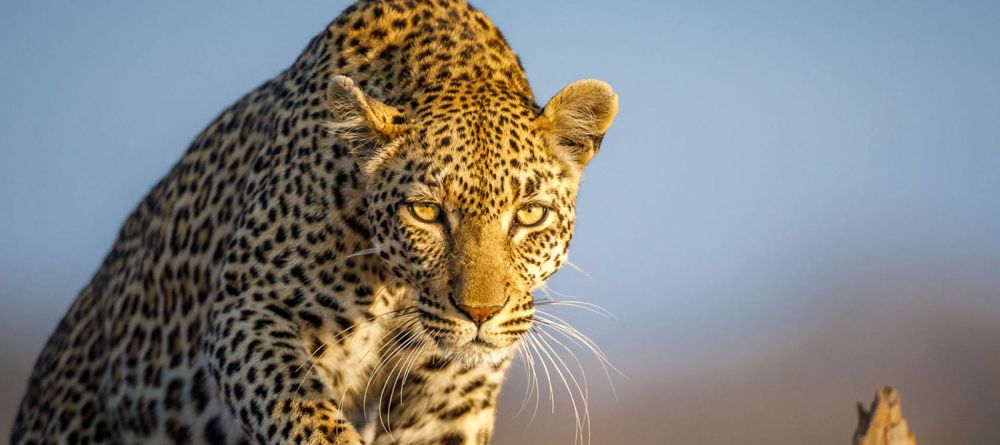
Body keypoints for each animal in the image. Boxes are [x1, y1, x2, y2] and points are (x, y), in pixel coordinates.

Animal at [11, 0, 618, 443]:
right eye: (426, 212)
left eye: (530, 215)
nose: (480, 314)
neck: (395, 288)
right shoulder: (248, 314)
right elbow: (308, 419)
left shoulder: (452, 402)